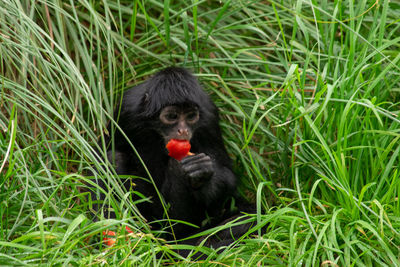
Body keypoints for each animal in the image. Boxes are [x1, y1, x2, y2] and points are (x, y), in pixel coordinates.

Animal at [92, 66, 252, 247]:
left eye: (190, 116)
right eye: (172, 117)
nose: (183, 130)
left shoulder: (208, 117)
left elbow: (227, 176)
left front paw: (201, 172)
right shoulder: (126, 110)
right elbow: (100, 157)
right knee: (114, 158)